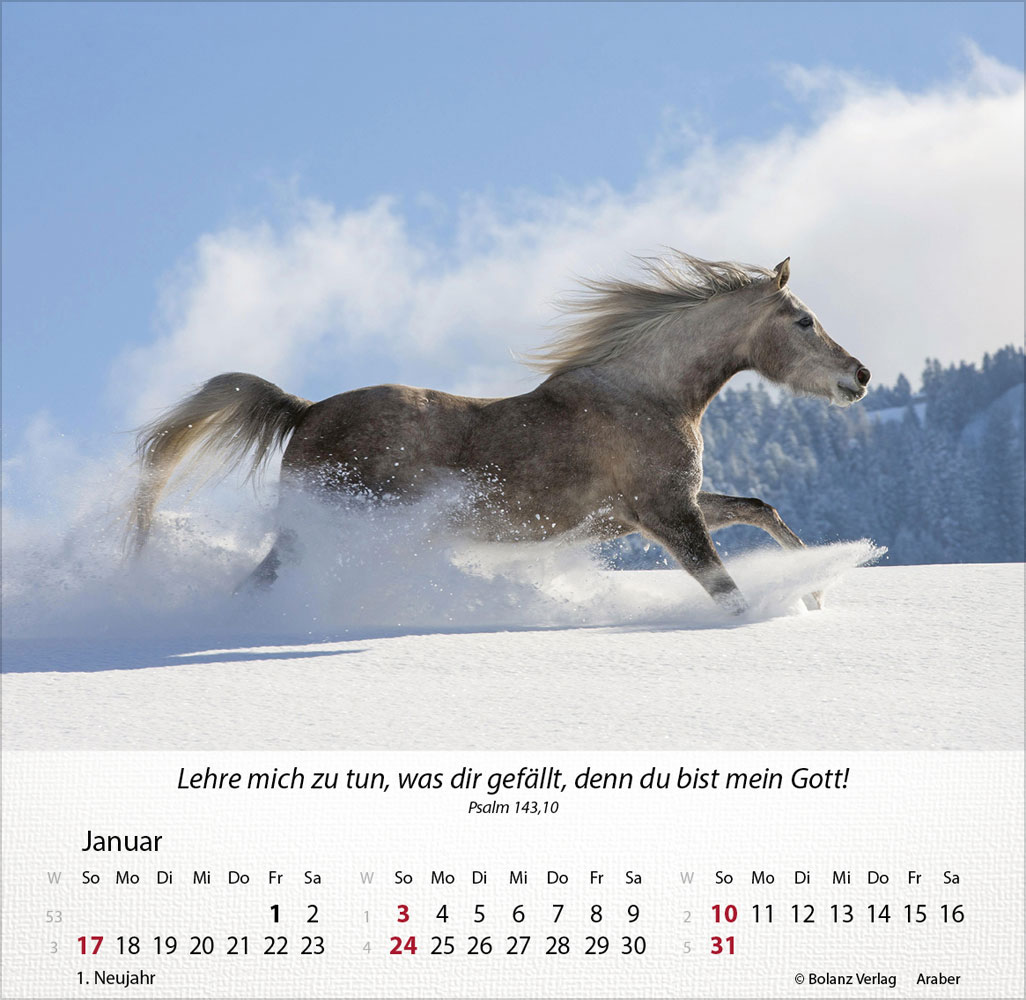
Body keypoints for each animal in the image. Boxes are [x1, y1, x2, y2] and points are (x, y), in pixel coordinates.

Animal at [127, 252, 870, 614]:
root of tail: (305, 411)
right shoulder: (666, 514)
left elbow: (758, 508)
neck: (646, 394)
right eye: (803, 320)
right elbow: (726, 591)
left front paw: (814, 588)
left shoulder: (663, 508)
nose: (859, 376)